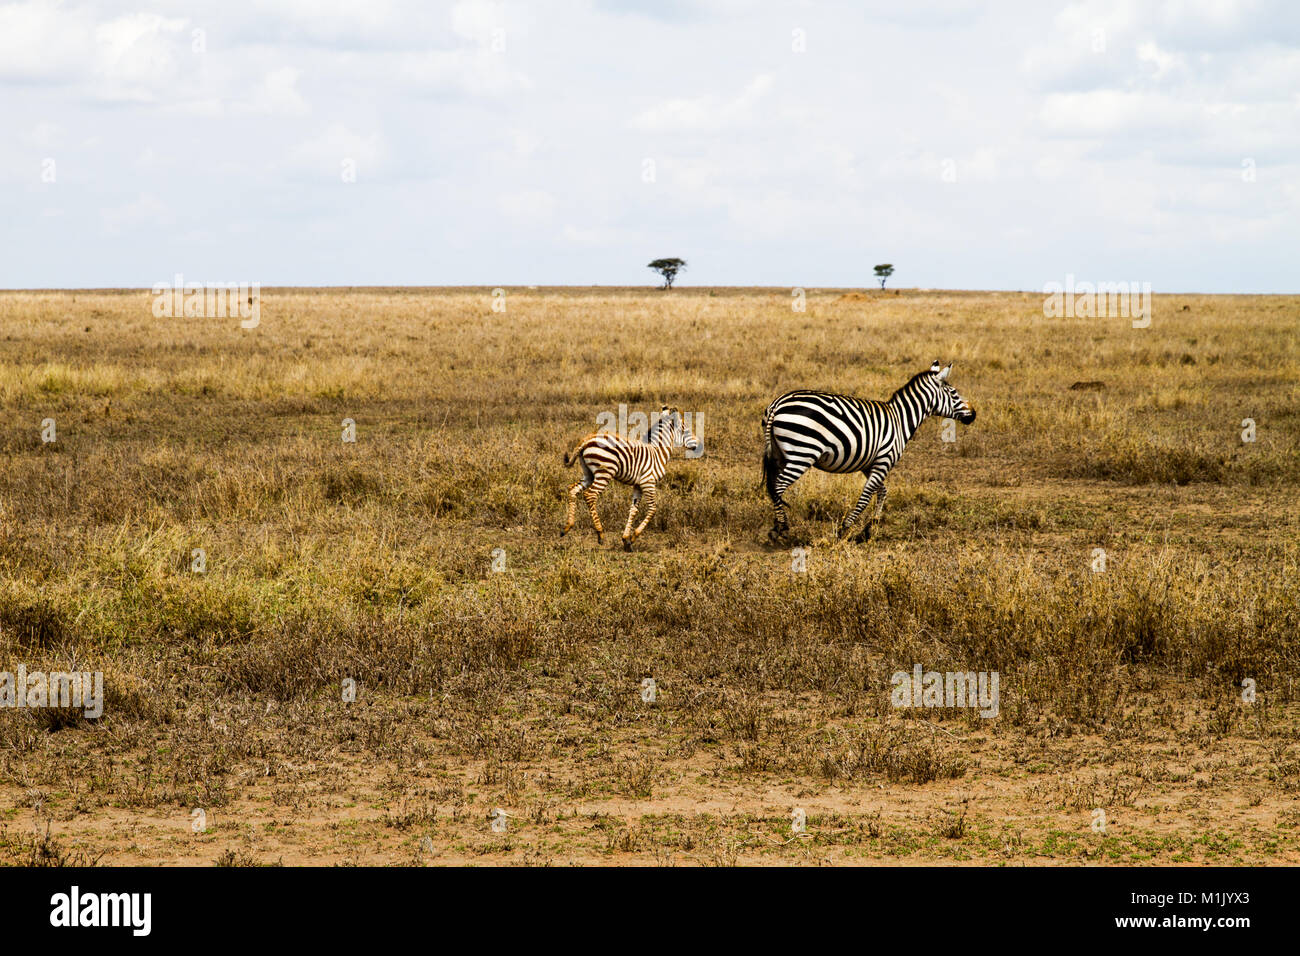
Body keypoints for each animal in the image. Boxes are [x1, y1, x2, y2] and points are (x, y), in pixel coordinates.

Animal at [562, 406, 702, 550]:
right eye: (686, 430)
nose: (699, 445)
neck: (658, 452)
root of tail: (586, 441)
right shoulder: (648, 482)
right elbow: (653, 509)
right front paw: (634, 536)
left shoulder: (638, 485)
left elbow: (633, 510)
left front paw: (626, 540)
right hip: (604, 473)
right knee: (590, 495)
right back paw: (600, 533)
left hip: (588, 473)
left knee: (572, 489)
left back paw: (567, 527)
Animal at [762, 360, 976, 543]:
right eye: (954, 393)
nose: (974, 414)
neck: (900, 419)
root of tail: (778, 404)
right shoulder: (884, 461)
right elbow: (867, 495)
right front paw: (846, 528)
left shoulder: (870, 464)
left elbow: (882, 491)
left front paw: (871, 526)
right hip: (803, 453)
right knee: (779, 486)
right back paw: (783, 527)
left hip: (780, 455)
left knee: (772, 487)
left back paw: (776, 525)